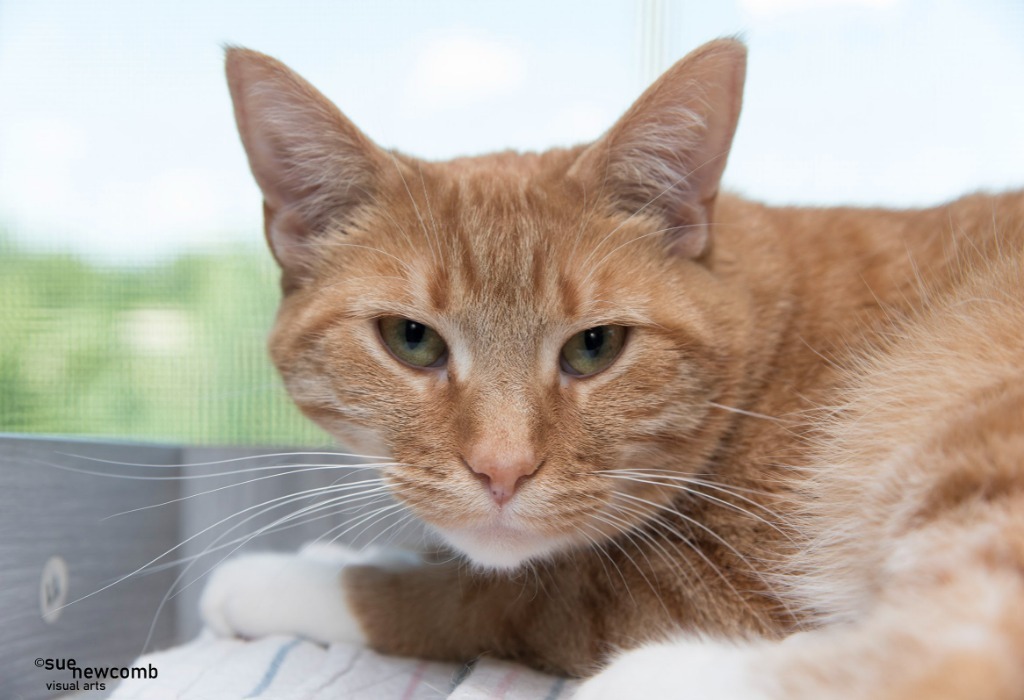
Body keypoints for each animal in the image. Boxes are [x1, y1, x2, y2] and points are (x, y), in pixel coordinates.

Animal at [199, 39, 1024, 700]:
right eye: (412, 340)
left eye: (594, 347)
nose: (502, 469)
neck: (770, 351)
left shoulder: (704, 593)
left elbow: (476, 594)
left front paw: (282, 578)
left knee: (957, 653)